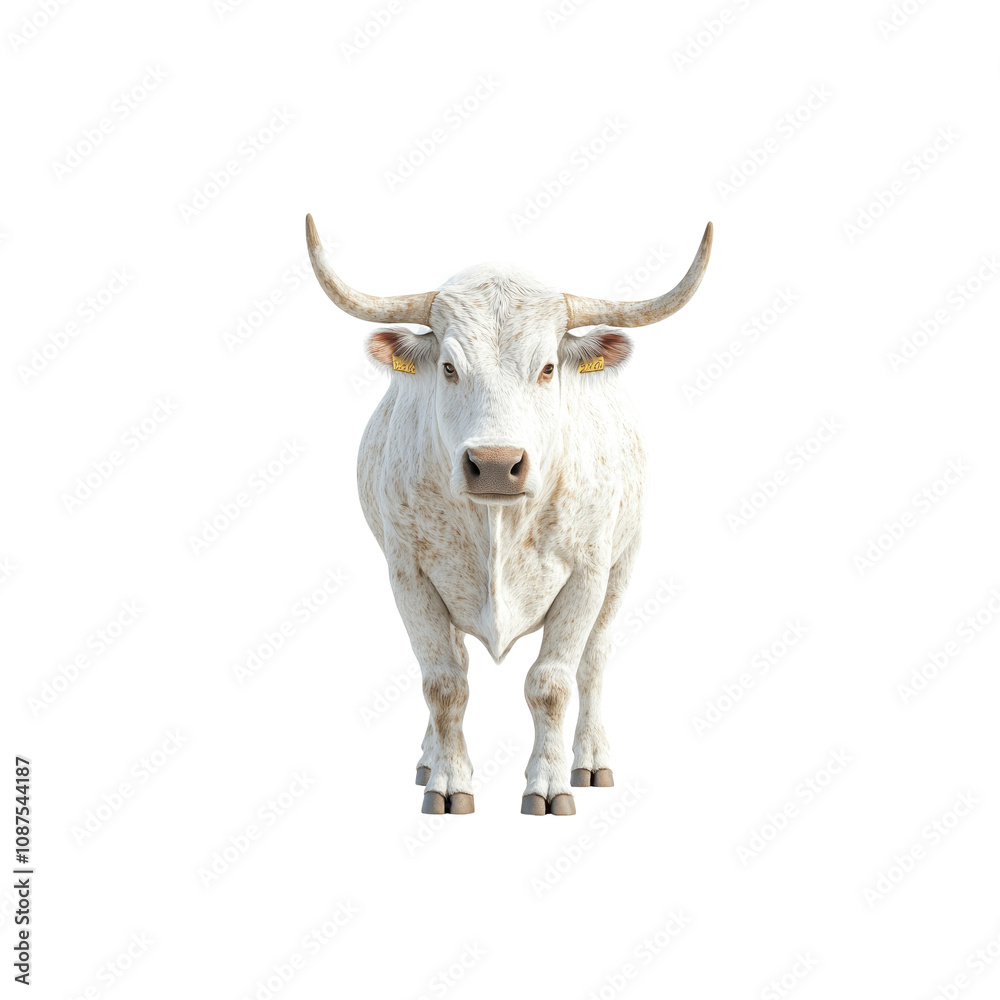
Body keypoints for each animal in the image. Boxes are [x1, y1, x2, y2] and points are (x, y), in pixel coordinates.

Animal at [305, 214, 712, 816]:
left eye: (547, 367)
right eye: (448, 367)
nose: (496, 465)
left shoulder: (588, 573)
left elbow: (552, 682)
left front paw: (550, 784)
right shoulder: (408, 574)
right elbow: (444, 682)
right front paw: (449, 782)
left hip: (624, 563)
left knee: (594, 661)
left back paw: (592, 759)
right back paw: (428, 760)